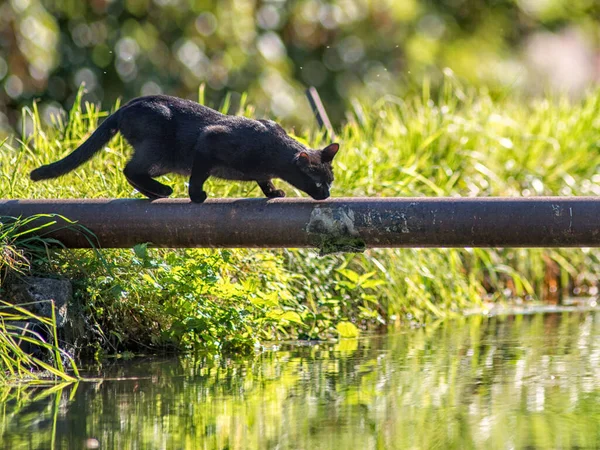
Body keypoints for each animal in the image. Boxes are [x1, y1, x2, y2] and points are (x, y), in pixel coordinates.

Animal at [30, 96, 340, 203]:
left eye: (331, 182)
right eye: (317, 182)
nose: (326, 194)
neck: (275, 150)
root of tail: (126, 106)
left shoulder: (261, 170)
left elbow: (263, 180)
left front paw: (273, 192)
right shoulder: (210, 140)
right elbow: (198, 175)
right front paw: (196, 196)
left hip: (162, 159)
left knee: (131, 171)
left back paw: (155, 192)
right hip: (158, 148)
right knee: (129, 169)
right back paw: (161, 191)